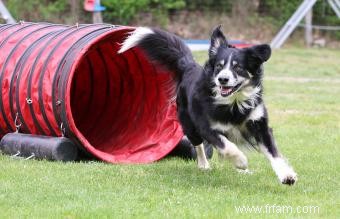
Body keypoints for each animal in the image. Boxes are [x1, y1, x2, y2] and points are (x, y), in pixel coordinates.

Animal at [120, 25, 298, 186]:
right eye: (219, 66)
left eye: (238, 67)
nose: (222, 79)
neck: (233, 102)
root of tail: (189, 67)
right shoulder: (206, 126)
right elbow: (226, 145)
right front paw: (241, 160)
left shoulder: (258, 123)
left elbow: (273, 152)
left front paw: (286, 175)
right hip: (189, 124)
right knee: (198, 144)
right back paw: (204, 165)